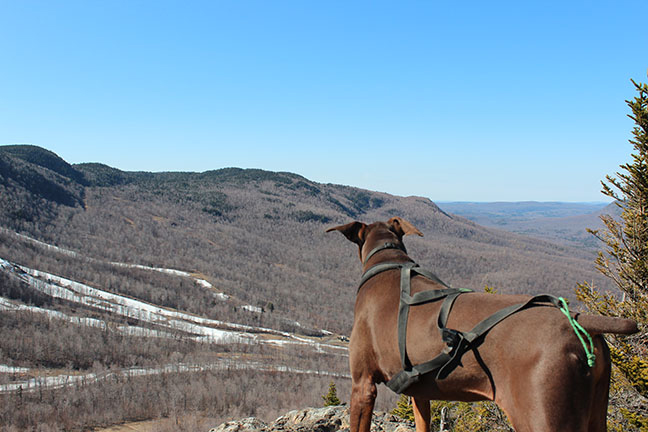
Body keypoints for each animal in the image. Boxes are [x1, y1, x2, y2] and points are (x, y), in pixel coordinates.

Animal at [326, 218, 640, 432]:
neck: (388, 260)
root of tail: (577, 319)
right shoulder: (419, 392)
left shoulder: (363, 385)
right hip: (596, 412)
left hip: (544, 417)